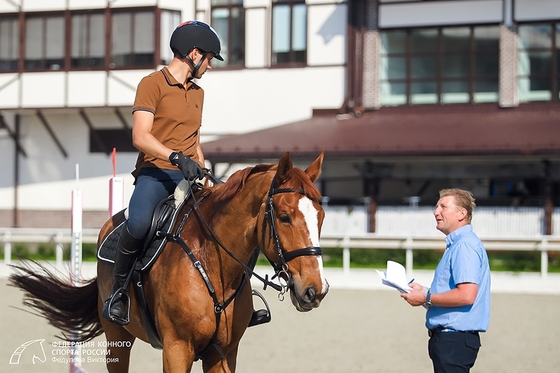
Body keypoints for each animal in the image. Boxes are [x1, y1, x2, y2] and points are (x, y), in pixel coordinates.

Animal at [9, 152, 328, 372]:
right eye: (284, 217)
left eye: (321, 217)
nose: (316, 290)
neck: (212, 263)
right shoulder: (177, 349)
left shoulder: (224, 354)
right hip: (117, 339)